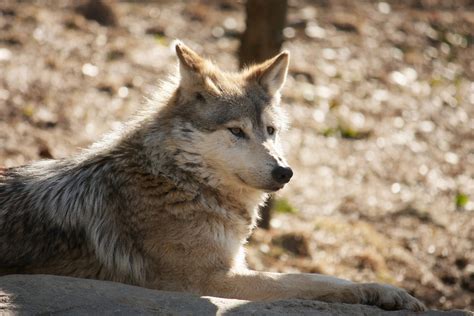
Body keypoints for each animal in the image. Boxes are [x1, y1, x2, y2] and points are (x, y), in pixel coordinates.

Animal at [0, 41, 426, 312]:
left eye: (270, 130)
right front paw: (381, 291)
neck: (180, 180)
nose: (284, 171)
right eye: (236, 131)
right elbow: (309, 280)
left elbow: (317, 278)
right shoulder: (209, 281)